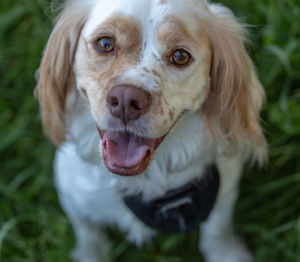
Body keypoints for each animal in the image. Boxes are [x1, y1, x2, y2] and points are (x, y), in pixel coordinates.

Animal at [37, 1, 268, 260]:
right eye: (105, 44)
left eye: (180, 56)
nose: (126, 100)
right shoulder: (73, 195)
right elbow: (89, 235)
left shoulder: (223, 187)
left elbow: (218, 228)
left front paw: (226, 253)